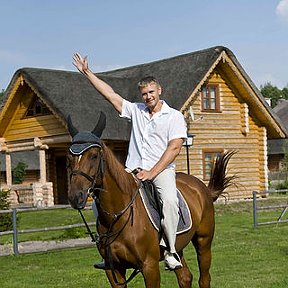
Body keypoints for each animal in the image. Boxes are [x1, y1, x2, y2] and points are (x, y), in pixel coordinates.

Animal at [67, 113, 234, 288]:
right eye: (69, 157)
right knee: (185, 277)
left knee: (204, 278)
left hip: (203, 242)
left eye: (93, 155)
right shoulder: (113, 271)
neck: (118, 216)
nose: (75, 196)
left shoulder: (149, 266)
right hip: (178, 248)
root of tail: (201, 187)